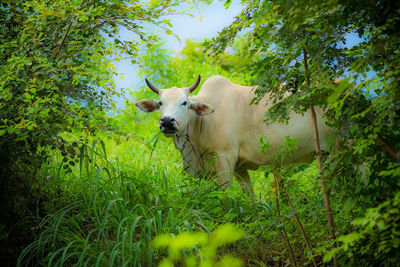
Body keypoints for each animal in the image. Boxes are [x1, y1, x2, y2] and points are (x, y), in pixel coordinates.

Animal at [136, 75, 332, 195]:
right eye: (161, 103)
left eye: (184, 103)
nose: (167, 121)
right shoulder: (240, 167)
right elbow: (250, 195)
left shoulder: (224, 157)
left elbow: (224, 193)